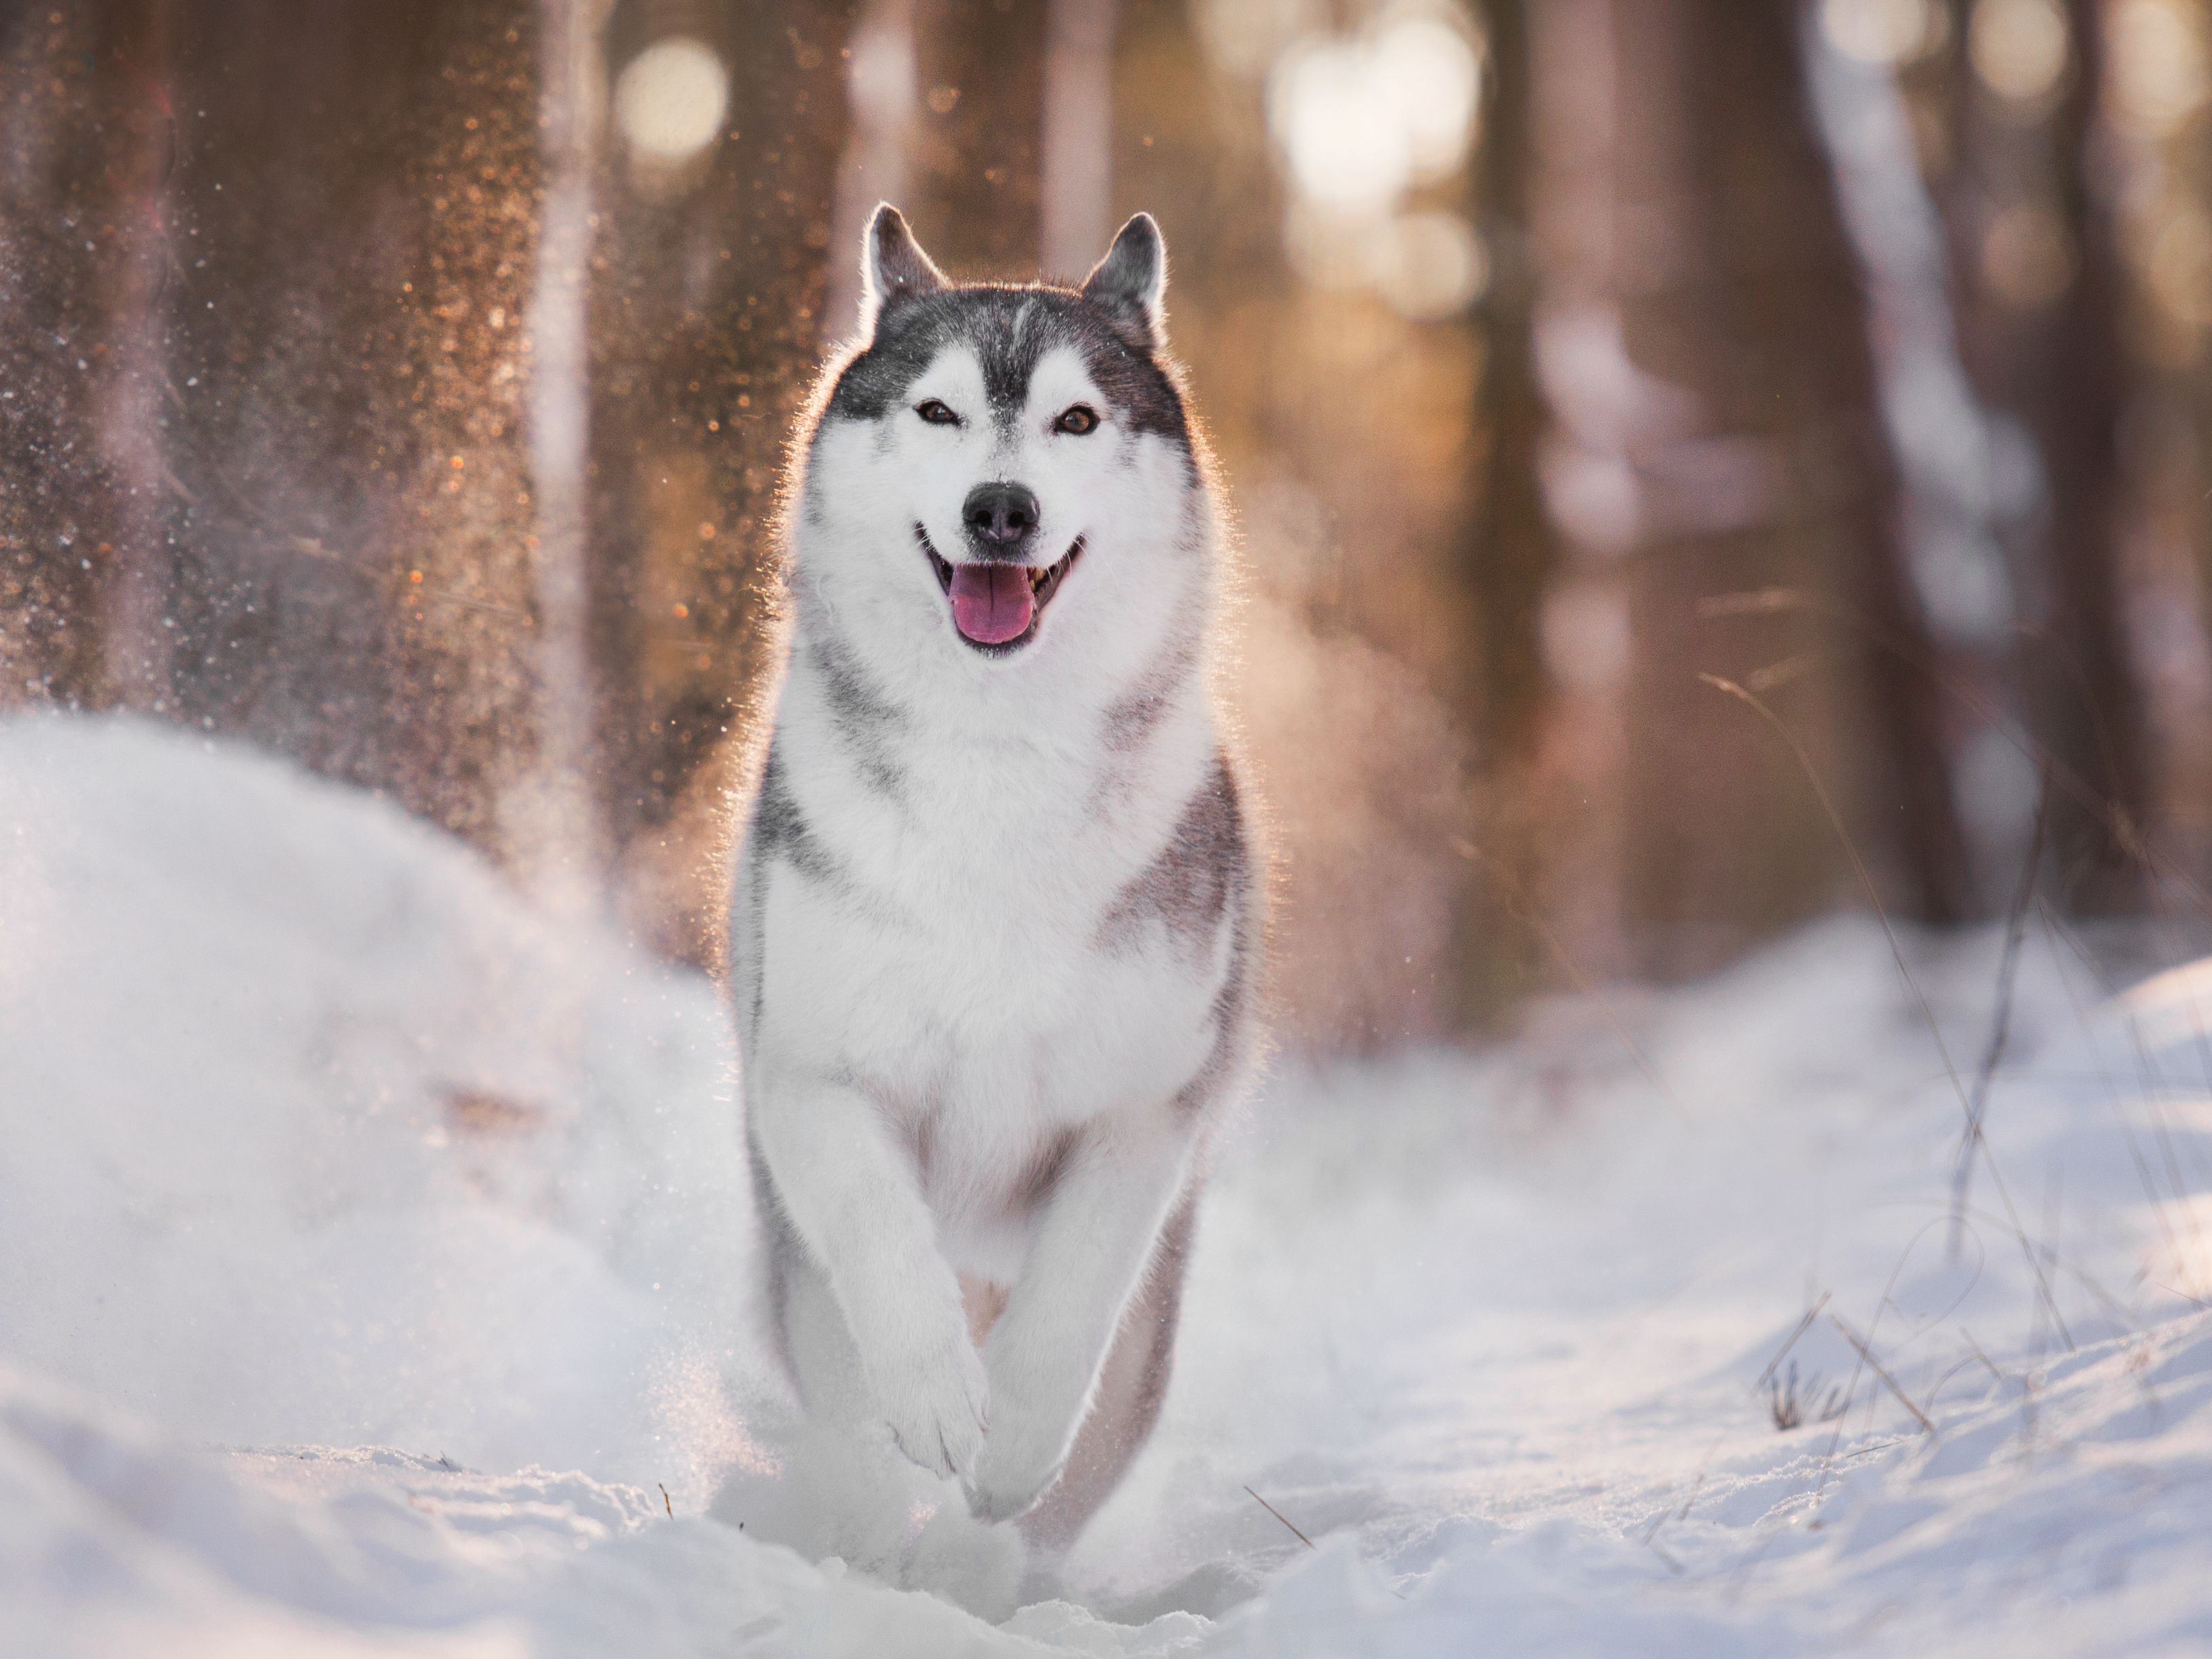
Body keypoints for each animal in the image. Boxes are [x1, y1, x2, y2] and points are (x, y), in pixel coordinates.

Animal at [730, 207, 1265, 1557]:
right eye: (938, 412)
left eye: (1076, 419)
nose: (1002, 510)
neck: (996, 755)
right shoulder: (809, 1072)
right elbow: (880, 1237)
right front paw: (931, 1401)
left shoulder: (1142, 1108)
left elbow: (1069, 1300)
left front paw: (1010, 1438)